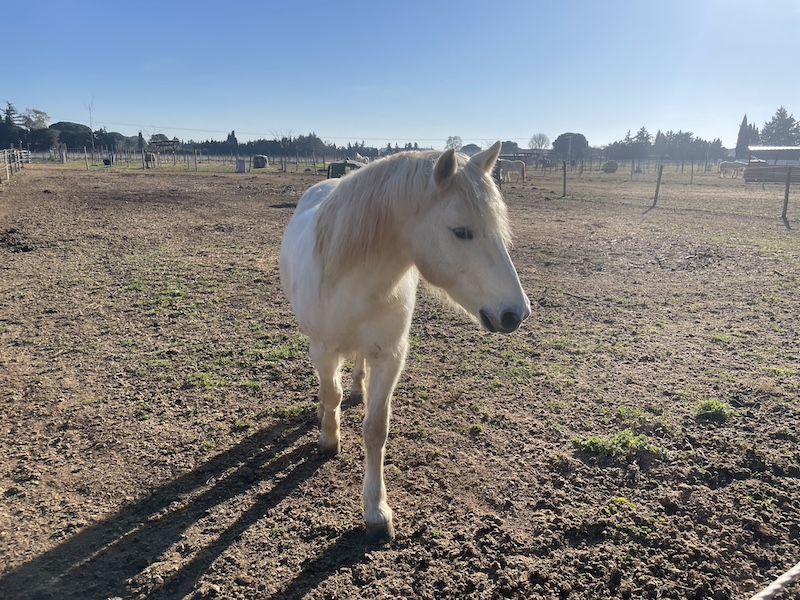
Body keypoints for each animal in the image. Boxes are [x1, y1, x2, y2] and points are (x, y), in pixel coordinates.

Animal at [279, 141, 531, 545]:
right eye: (461, 231)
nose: (515, 314)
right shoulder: (323, 349)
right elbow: (330, 393)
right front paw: (329, 438)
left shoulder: (390, 356)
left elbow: (375, 429)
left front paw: (376, 511)